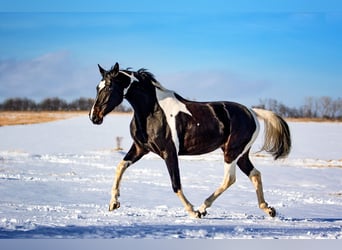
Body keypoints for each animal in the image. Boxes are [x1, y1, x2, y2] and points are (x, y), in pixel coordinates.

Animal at [89, 63, 290, 219]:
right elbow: (120, 167)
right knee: (255, 174)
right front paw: (113, 203)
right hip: (241, 154)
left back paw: (202, 208)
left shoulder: (169, 152)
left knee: (229, 179)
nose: (93, 117)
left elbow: (175, 183)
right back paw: (268, 209)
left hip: (232, 152)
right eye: (97, 87)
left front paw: (192, 211)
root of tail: (252, 112)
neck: (152, 112)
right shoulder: (140, 148)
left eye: (109, 87)